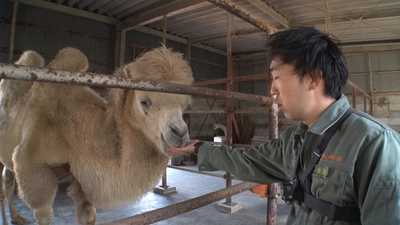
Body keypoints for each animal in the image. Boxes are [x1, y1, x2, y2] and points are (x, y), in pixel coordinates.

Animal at [0, 46, 194, 225]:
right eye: (144, 101)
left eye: (185, 104)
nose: (179, 133)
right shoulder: (30, 163)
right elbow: (43, 214)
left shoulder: (83, 177)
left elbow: (87, 215)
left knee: (8, 180)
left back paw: (17, 217)